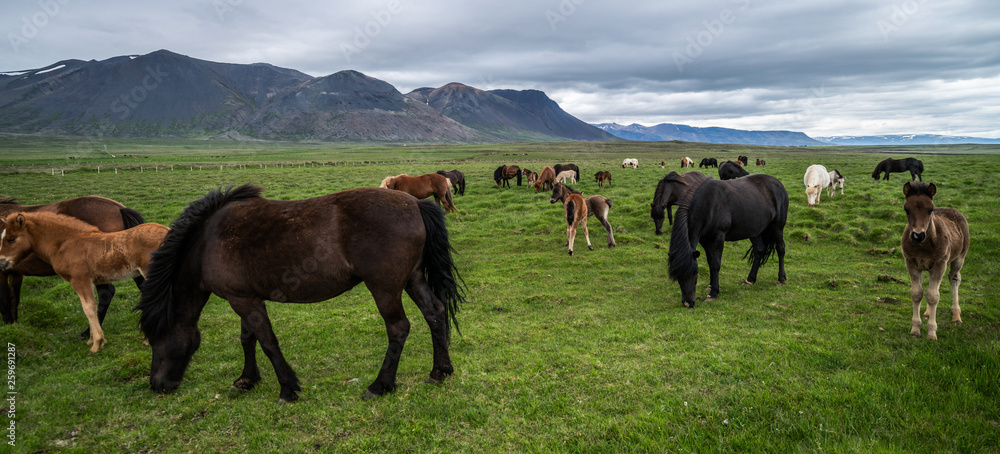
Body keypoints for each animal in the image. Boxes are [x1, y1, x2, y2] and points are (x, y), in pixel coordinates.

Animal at [0, 211, 168, 352]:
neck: (65, 243)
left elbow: (88, 308)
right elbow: (91, 307)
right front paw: (92, 340)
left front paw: (97, 343)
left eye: (11, 238)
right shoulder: (92, 281)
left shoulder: (80, 280)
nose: (1, 262)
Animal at [135, 183, 466, 402]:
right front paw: (246, 380)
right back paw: (440, 371)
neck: (207, 242)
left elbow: (268, 342)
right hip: (412, 279)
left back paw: (380, 385)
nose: (157, 385)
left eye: (157, 338)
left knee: (399, 328)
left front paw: (287, 388)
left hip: (385, 288)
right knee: (434, 313)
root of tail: (415, 204)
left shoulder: (244, 301)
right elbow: (248, 339)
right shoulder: (244, 297)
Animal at [664, 174, 788, 308]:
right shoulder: (704, 240)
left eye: (695, 273)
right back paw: (750, 280)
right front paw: (710, 285)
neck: (708, 205)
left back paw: (781, 279)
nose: (688, 303)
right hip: (755, 230)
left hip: (777, 227)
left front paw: (713, 293)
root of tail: (778, 184)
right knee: (759, 250)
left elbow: (716, 264)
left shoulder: (719, 236)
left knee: (781, 249)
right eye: (678, 277)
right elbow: (710, 261)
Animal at [900, 183, 968, 338]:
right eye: (906, 209)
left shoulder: (939, 264)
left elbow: (933, 296)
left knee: (954, 278)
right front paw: (915, 329)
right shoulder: (911, 263)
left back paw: (956, 316)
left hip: (959, 258)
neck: (922, 246)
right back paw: (927, 312)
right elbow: (917, 293)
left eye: (930, 209)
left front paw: (931, 332)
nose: (918, 235)